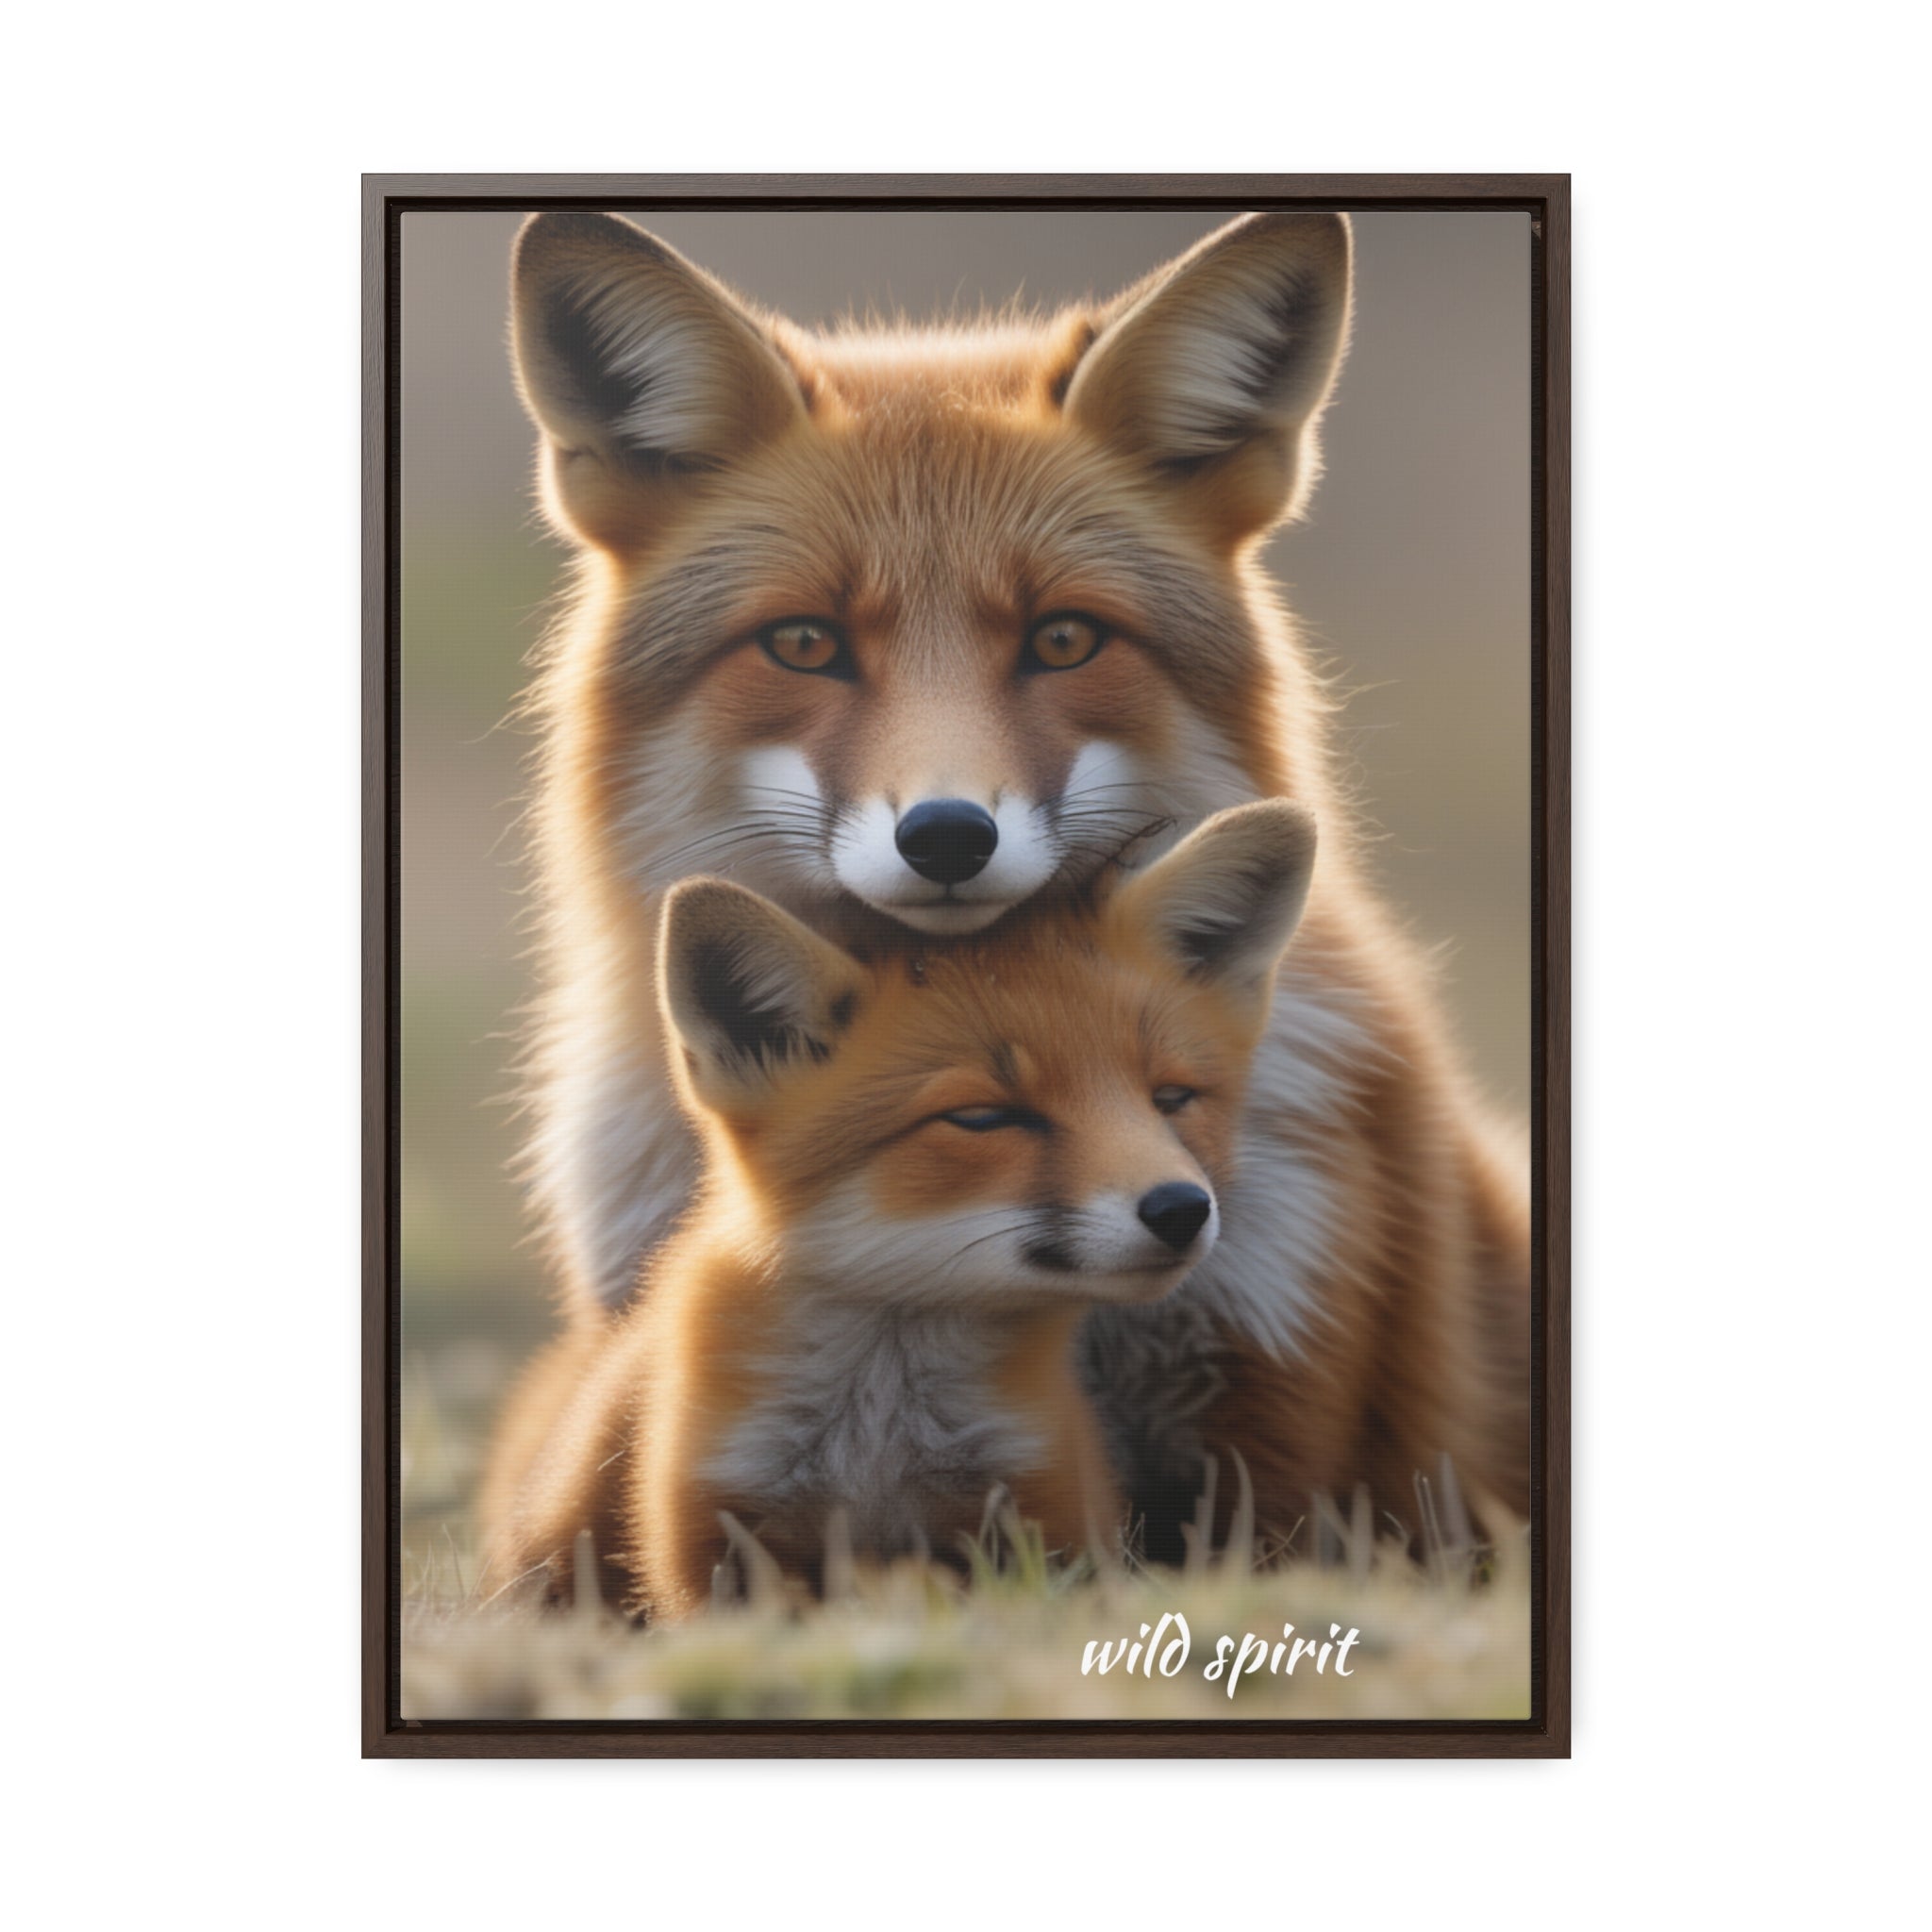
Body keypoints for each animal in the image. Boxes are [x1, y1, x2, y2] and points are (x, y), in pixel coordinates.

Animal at [480, 802, 1320, 1618]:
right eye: (984, 1118)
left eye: (1171, 1099)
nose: (1181, 1209)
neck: (879, 1434)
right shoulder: (715, 1537)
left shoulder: (1044, 1513)